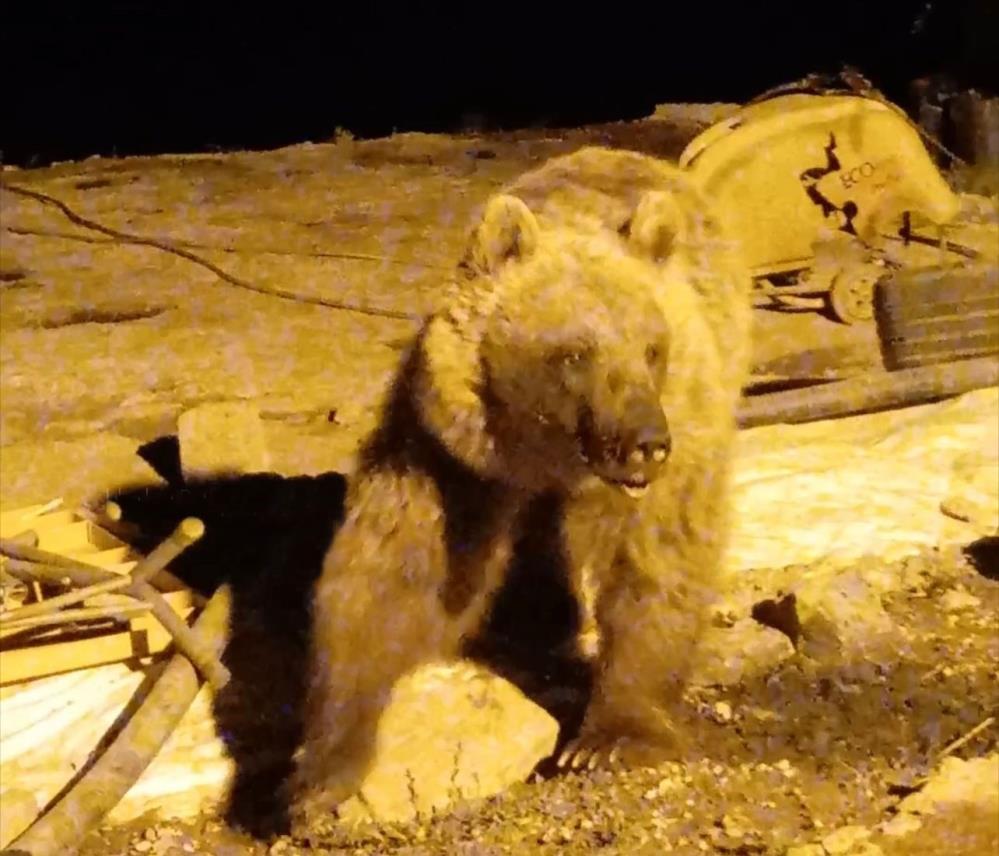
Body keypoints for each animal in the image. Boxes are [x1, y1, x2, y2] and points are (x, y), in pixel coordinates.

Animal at [292, 147, 752, 824]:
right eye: (575, 354)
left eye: (652, 348)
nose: (646, 441)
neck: (545, 457)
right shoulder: (450, 453)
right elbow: (393, 569)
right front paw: (321, 773)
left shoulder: (685, 423)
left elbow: (657, 556)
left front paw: (612, 738)